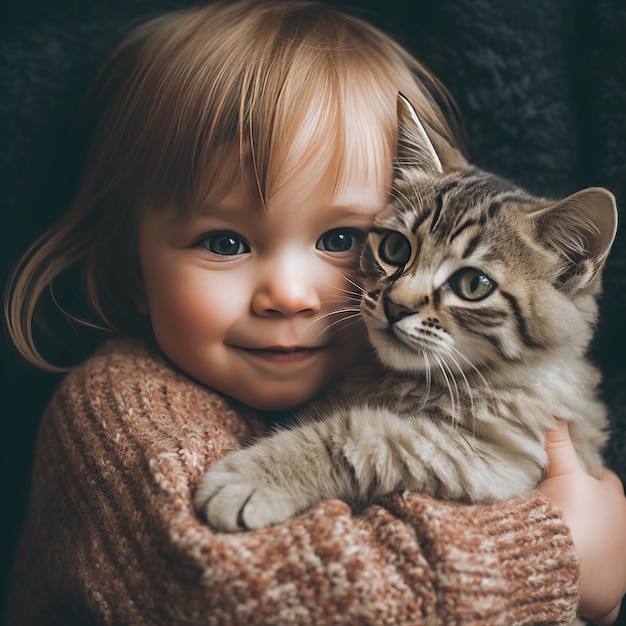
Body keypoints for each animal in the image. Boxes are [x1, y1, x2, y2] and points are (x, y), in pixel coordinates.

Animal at [194, 92, 616, 532]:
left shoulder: (493, 458)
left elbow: (360, 437)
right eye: (395, 248)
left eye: (474, 285)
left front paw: (256, 476)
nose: (397, 305)